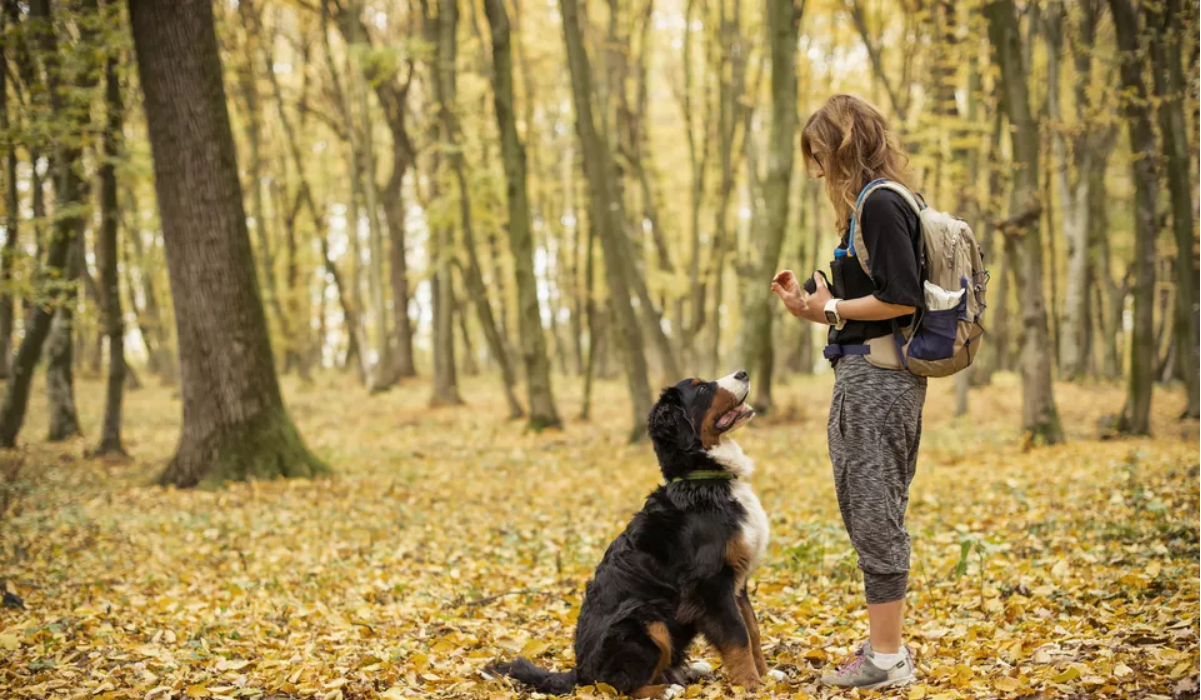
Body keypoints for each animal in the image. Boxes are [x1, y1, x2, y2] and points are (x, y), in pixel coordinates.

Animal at [485, 369, 768, 696]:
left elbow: (752, 630)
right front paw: (751, 685)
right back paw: (665, 689)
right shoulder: (711, 583)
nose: (743, 373)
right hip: (643, 618)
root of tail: (580, 672)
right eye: (701, 388)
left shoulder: (737, 581)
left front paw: (767, 677)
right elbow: (738, 636)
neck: (704, 480)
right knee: (617, 685)